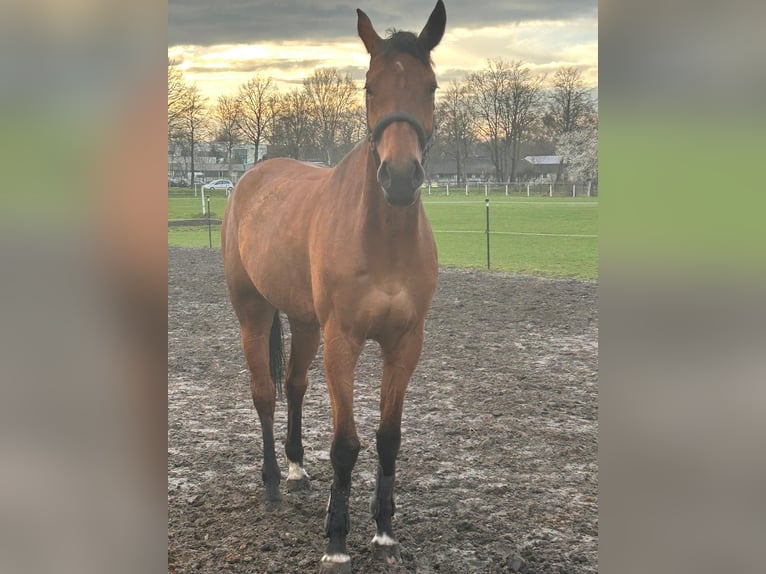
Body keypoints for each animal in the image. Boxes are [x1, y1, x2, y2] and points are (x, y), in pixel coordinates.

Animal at [221, 2, 446, 571]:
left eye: (431, 86)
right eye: (369, 86)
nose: (400, 178)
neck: (382, 238)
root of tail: (250, 178)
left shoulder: (406, 342)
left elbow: (388, 437)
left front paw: (384, 531)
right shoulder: (343, 339)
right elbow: (346, 443)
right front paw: (337, 540)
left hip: (303, 323)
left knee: (294, 384)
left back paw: (298, 469)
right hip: (253, 312)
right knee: (264, 393)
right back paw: (272, 484)